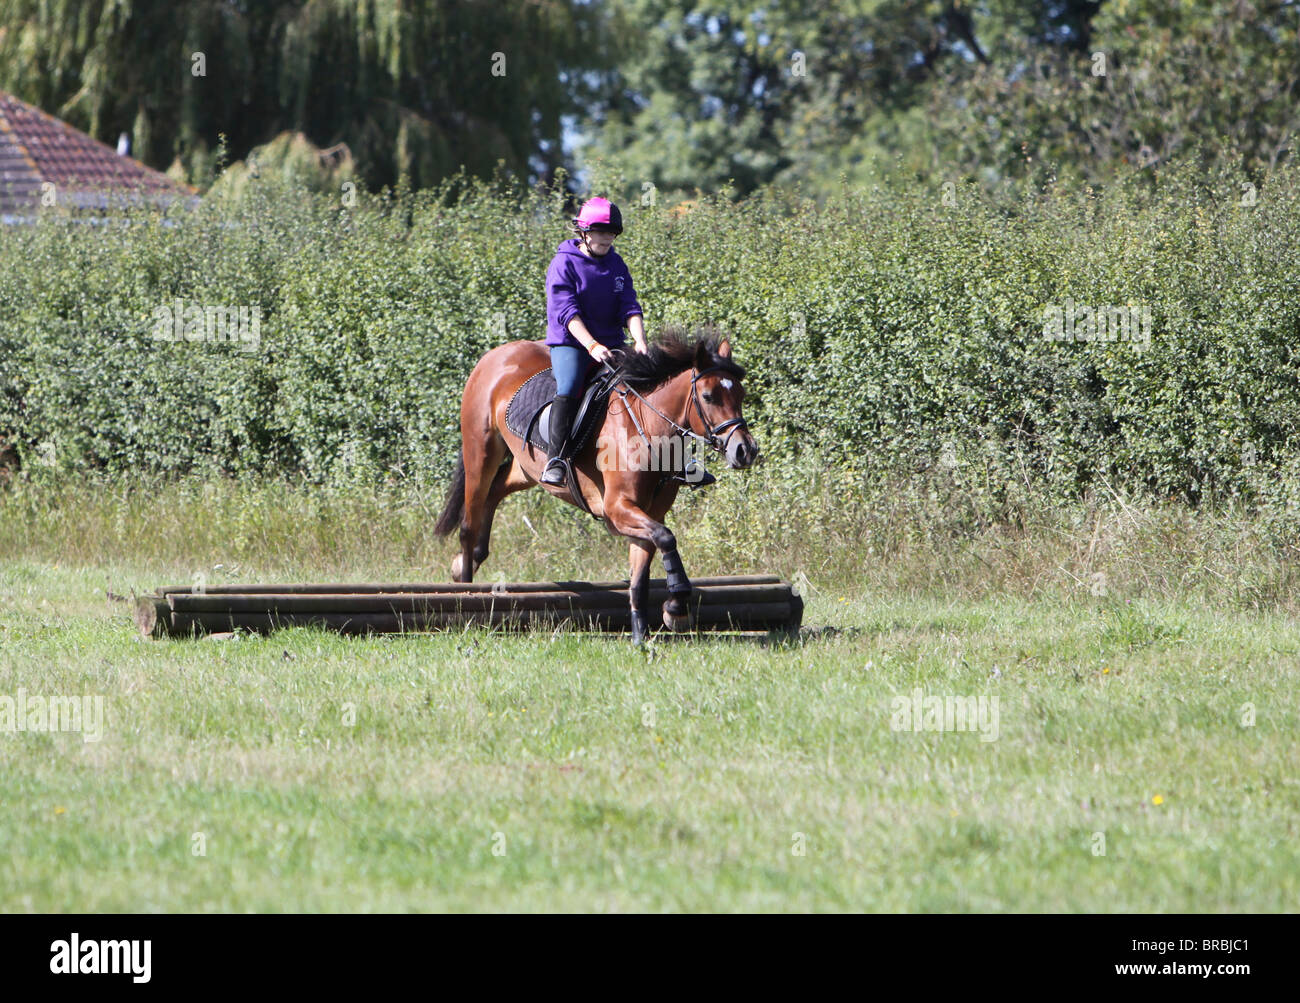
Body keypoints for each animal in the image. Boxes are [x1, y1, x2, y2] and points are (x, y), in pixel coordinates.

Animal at [434, 327, 759, 641]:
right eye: (708, 396)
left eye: (740, 394)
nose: (745, 450)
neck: (647, 427)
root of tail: (496, 354)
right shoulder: (616, 509)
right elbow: (666, 538)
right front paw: (676, 606)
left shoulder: (649, 513)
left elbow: (641, 573)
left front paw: (642, 633)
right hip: (480, 452)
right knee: (469, 520)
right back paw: (464, 585)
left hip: (526, 467)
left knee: (497, 489)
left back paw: (471, 559)